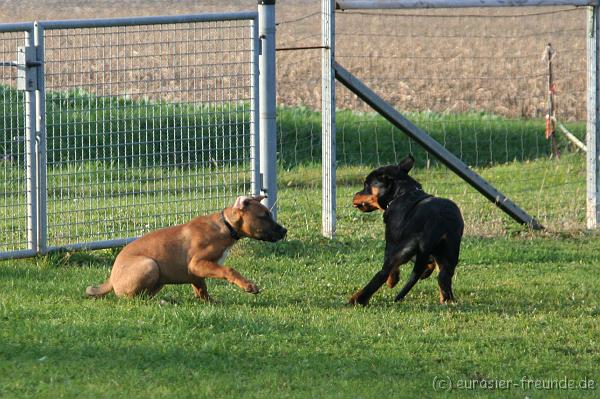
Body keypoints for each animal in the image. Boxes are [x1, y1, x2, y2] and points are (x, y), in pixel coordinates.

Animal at [85, 195, 288, 302]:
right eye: (264, 216)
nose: (284, 231)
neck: (226, 227)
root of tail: (111, 279)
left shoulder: (196, 271)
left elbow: (201, 287)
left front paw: (208, 302)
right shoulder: (197, 263)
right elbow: (228, 270)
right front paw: (248, 286)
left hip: (159, 277)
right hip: (149, 264)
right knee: (133, 298)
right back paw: (160, 302)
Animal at [346, 154, 464, 306]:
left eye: (366, 184)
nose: (355, 195)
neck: (402, 193)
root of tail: (435, 223)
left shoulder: (394, 244)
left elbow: (393, 269)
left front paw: (393, 280)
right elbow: (426, 262)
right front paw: (426, 271)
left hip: (400, 249)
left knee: (383, 273)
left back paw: (357, 299)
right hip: (448, 253)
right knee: (443, 278)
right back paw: (446, 300)